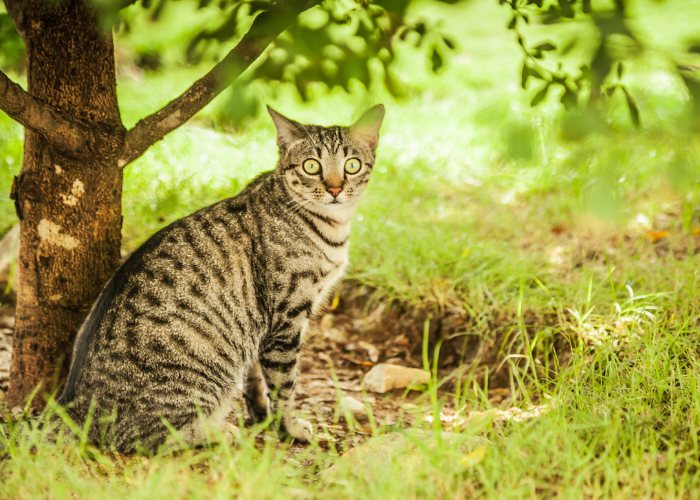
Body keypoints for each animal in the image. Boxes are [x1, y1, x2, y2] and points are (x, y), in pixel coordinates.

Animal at [55, 105, 386, 454]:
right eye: (311, 166)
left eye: (351, 164)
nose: (335, 188)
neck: (330, 226)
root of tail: (72, 407)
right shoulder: (285, 320)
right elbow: (285, 385)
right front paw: (289, 427)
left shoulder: (259, 325)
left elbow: (256, 378)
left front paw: (262, 415)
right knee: (141, 439)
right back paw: (216, 432)